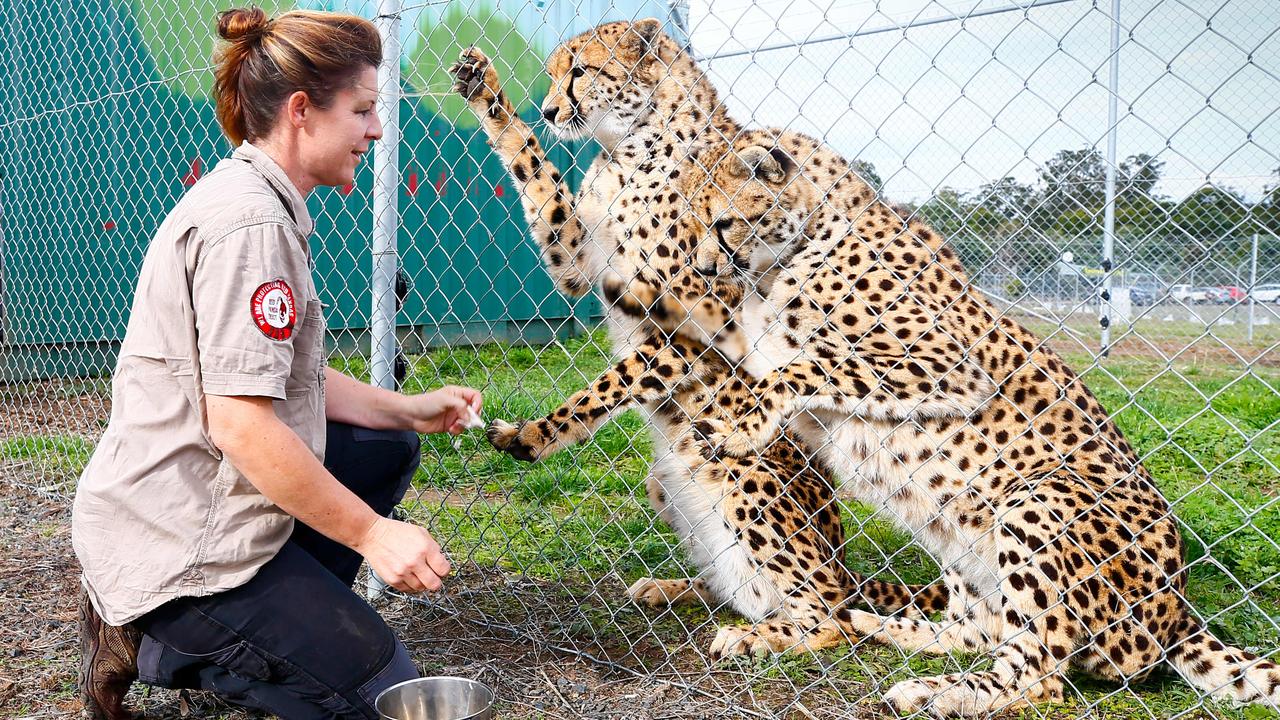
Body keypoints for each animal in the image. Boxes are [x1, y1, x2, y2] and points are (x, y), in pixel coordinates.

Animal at [445, 22, 947, 653]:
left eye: (580, 71)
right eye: (554, 75)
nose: (553, 109)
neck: (628, 146)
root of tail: (846, 565)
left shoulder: (692, 316)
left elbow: (613, 382)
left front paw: (537, 433)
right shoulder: (580, 262)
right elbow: (534, 168)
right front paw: (485, 91)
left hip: (745, 476)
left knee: (833, 616)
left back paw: (762, 637)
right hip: (664, 483)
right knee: (741, 588)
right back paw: (674, 589)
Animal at [496, 130, 1280, 712]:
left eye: (723, 221)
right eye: (686, 226)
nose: (701, 265)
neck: (802, 240)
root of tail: (1180, 609)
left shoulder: (944, 363)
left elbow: (808, 366)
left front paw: (745, 418)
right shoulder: (703, 332)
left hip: (1036, 499)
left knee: (1036, 674)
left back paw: (925, 686)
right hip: (958, 532)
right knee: (965, 629)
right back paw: (888, 627)